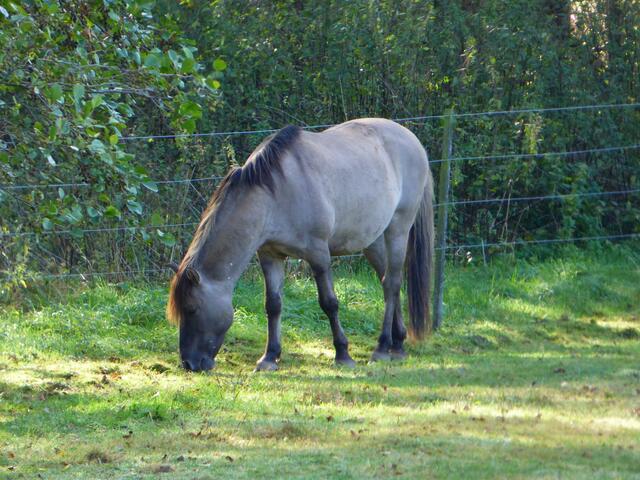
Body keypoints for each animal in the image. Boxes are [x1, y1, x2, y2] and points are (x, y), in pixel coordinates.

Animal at [167, 118, 434, 372]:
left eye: (191, 309)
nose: (189, 364)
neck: (275, 195)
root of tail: (413, 141)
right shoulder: (269, 256)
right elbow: (273, 305)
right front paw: (269, 357)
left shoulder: (319, 255)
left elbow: (329, 303)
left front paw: (343, 354)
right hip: (373, 241)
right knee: (387, 282)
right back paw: (397, 344)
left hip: (398, 229)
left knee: (392, 283)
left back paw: (382, 347)